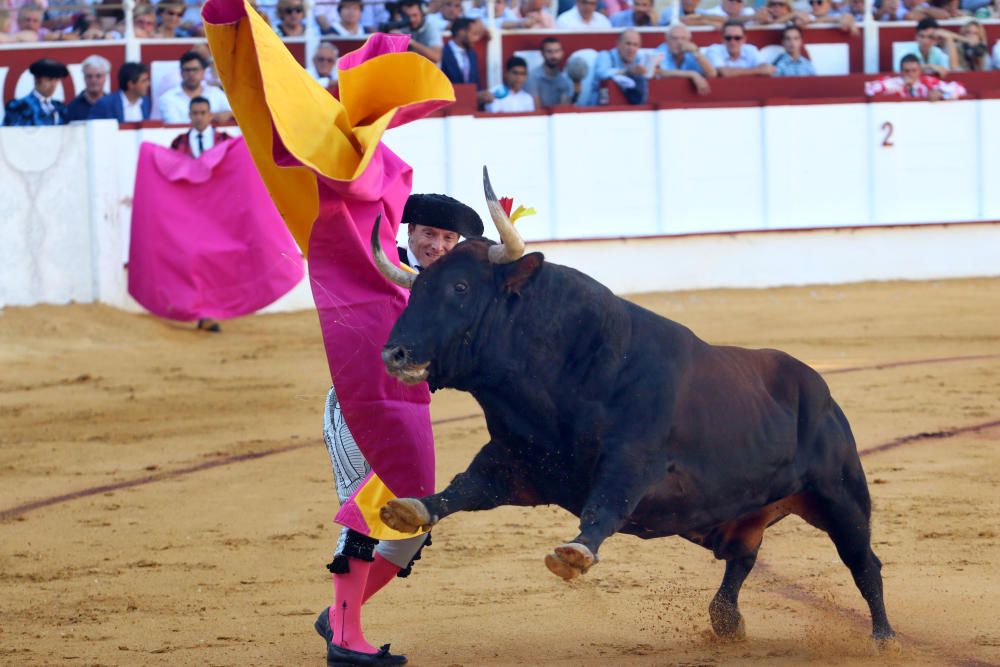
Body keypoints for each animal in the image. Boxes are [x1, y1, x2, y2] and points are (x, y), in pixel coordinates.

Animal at [372, 219, 896, 648]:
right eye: (418, 288)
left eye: (460, 287)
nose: (394, 354)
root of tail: (821, 392)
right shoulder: (516, 461)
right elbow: (464, 488)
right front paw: (410, 508)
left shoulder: (633, 460)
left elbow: (606, 504)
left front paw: (574, 553)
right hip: (744, 514)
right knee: (743, 559)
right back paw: (727, 621)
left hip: (839, 493)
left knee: (863, 562)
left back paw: (884, 638)